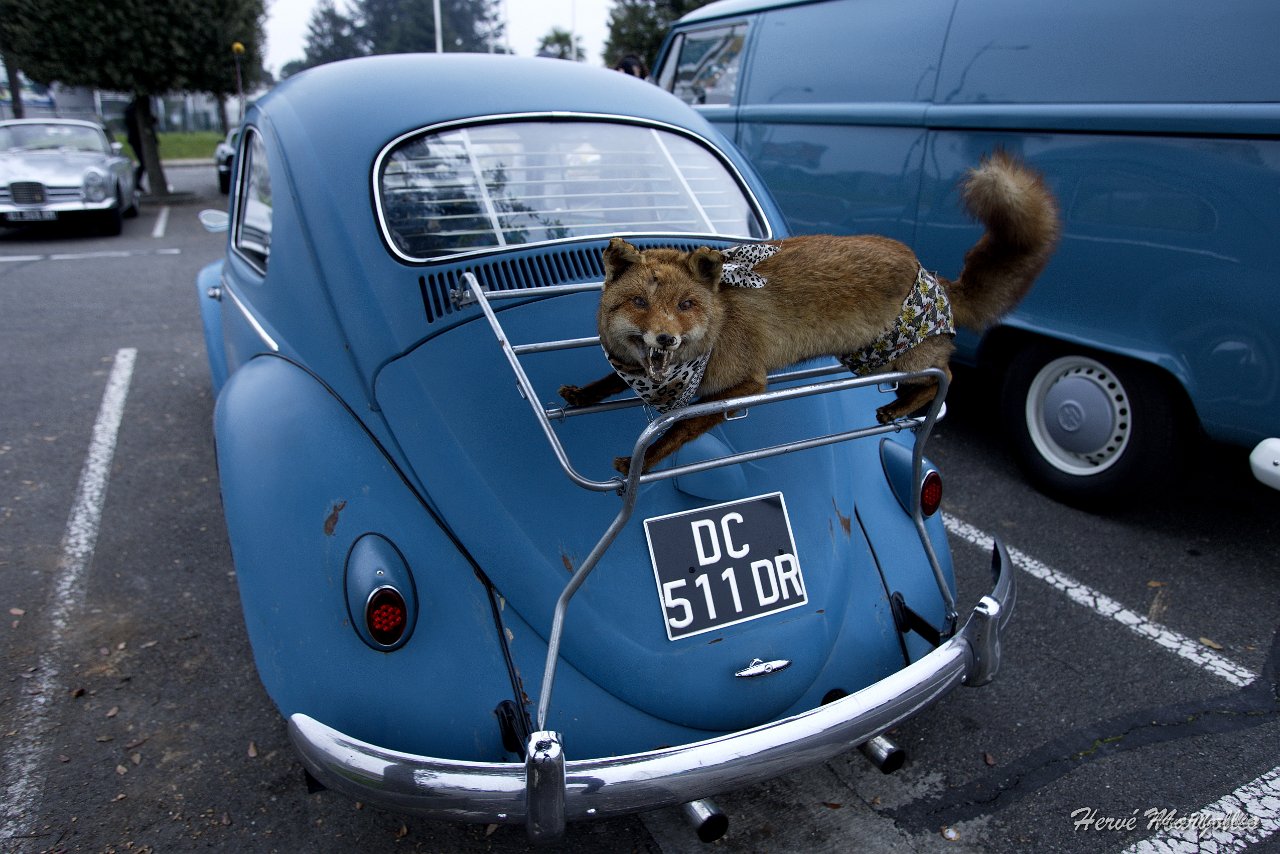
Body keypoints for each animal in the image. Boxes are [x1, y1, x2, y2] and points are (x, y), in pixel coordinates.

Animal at [559, 150, 1060, 475]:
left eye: (685, 305)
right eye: (640, 303)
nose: (665, 339)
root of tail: (932, 274)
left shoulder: (747, 384)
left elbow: (680, 428)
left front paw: (639, 461)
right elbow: (606, 383)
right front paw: (583, 395)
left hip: (899, 359)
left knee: (945, 378)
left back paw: (901, 406)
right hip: (869, 360)